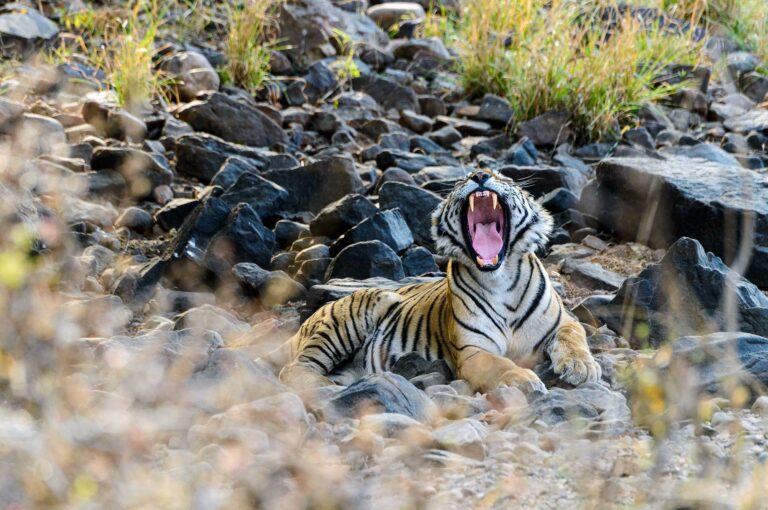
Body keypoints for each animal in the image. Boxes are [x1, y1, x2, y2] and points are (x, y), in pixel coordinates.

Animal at [280, 169, 604, 392]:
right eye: (463, 179)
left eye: (502, 176)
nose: (480, 175)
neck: (501, 280)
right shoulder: (473, 350)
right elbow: (499, 364)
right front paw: (525, 378)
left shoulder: (564, 320)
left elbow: (574, 337)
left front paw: (582, 366)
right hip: (348, 321)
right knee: (293, 371)